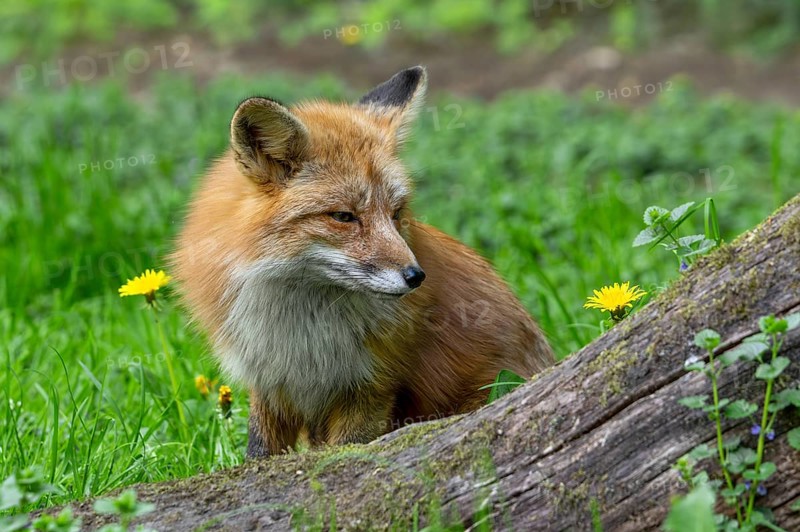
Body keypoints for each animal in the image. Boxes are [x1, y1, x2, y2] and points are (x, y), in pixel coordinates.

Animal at [171, 66, 555, 458]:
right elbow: (258, 453)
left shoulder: (372, 386)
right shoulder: (269, 384)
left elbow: (349, 449)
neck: (301, 331)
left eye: (396, 213)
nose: (416, 276)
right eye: (344, 216)